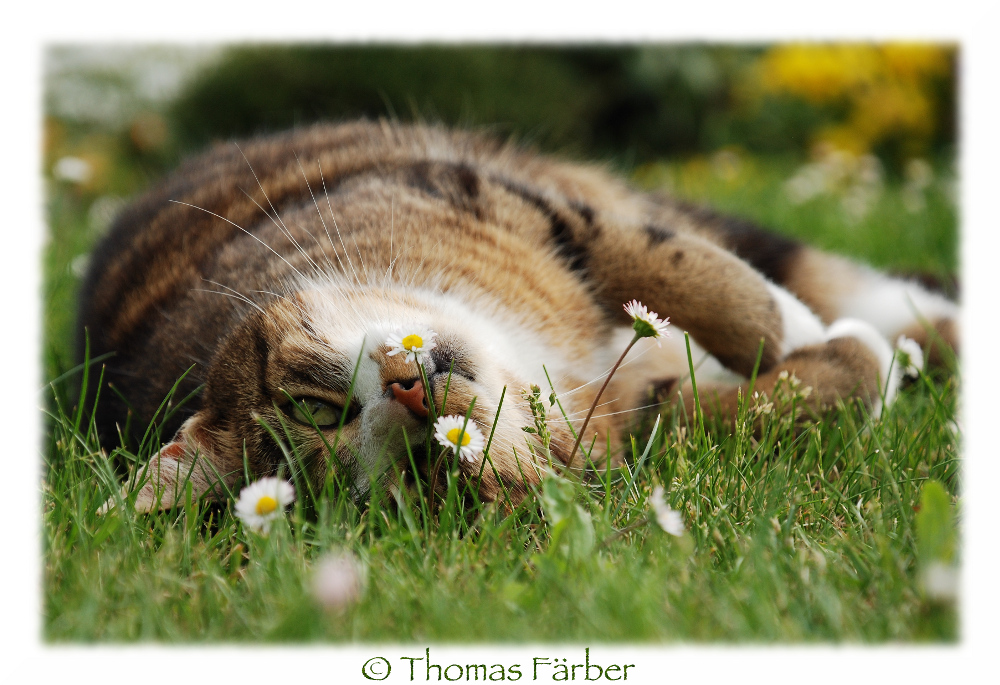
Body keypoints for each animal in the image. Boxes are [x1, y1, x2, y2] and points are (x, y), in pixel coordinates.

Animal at [80, 120, 960, 510]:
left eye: (315, 409)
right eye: (427, 472)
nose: (411, 394)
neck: (523, 343)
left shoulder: (491, 192)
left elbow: (672, 265)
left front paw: (789, 325)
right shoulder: (625, 423)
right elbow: (742, 411)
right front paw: (857, 362)